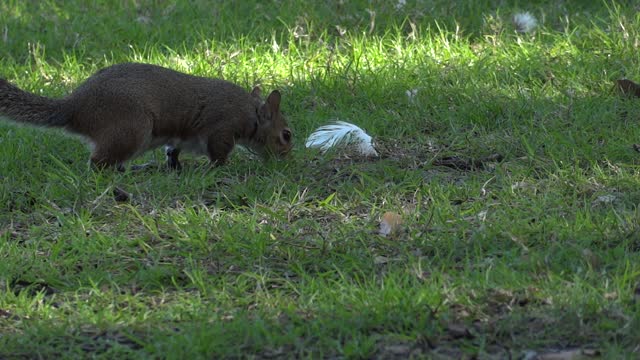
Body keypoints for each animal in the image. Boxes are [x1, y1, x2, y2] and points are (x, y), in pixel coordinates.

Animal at [0, 62, 292, 170]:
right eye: (286, 135)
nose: (287, 158)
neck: (250, 113)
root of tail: (75, 107)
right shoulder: (222, 128)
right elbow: (218, 154)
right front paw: (223, 167)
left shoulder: (181, 139)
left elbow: (173, 151)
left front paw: (175, 166)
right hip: (132, 128)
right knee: (98, 162)